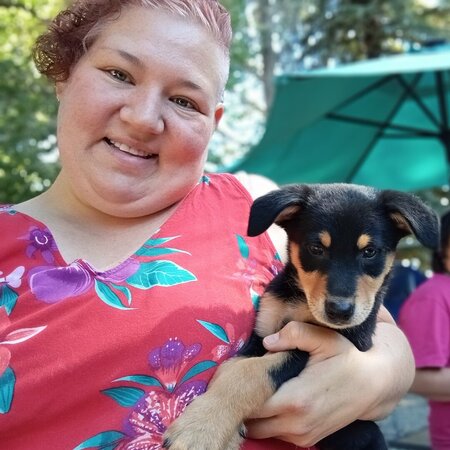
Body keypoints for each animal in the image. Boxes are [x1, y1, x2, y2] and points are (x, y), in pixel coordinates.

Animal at [163, 183, 440, 450]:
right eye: (316, 248)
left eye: (370, 251)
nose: (339, 310)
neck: (300, 301)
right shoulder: (262, 334)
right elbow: (232, 367)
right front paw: (221, 428)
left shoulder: (305, 345)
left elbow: (251, 372)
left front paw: (200, 430)